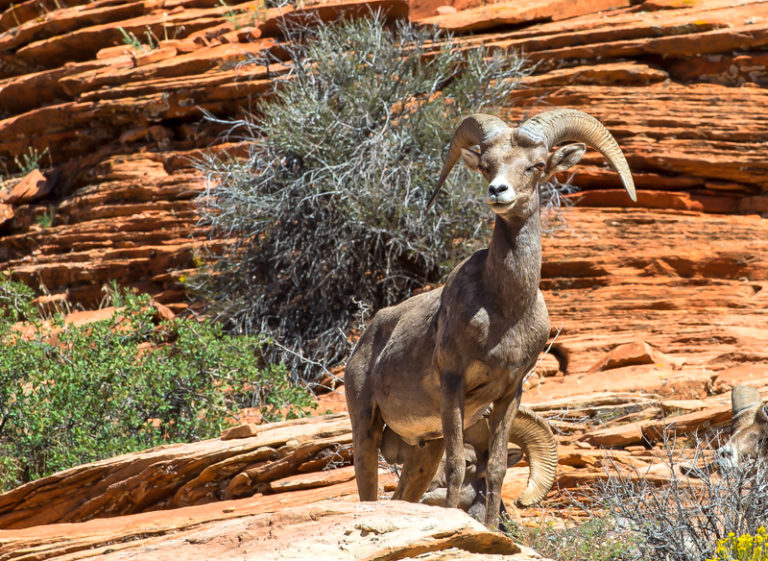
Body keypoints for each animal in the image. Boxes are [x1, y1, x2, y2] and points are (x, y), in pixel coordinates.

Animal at [344, 107, 632, 528]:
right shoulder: (453, 386)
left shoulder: (510, 392)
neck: (503, 315)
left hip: (423, 450)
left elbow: (495, 469)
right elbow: (456, 468)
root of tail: (366, 339)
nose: (498, 191)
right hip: (365, 427)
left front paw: (493, 529)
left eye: (536, 165)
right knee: (367, 491)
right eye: (486, 165)